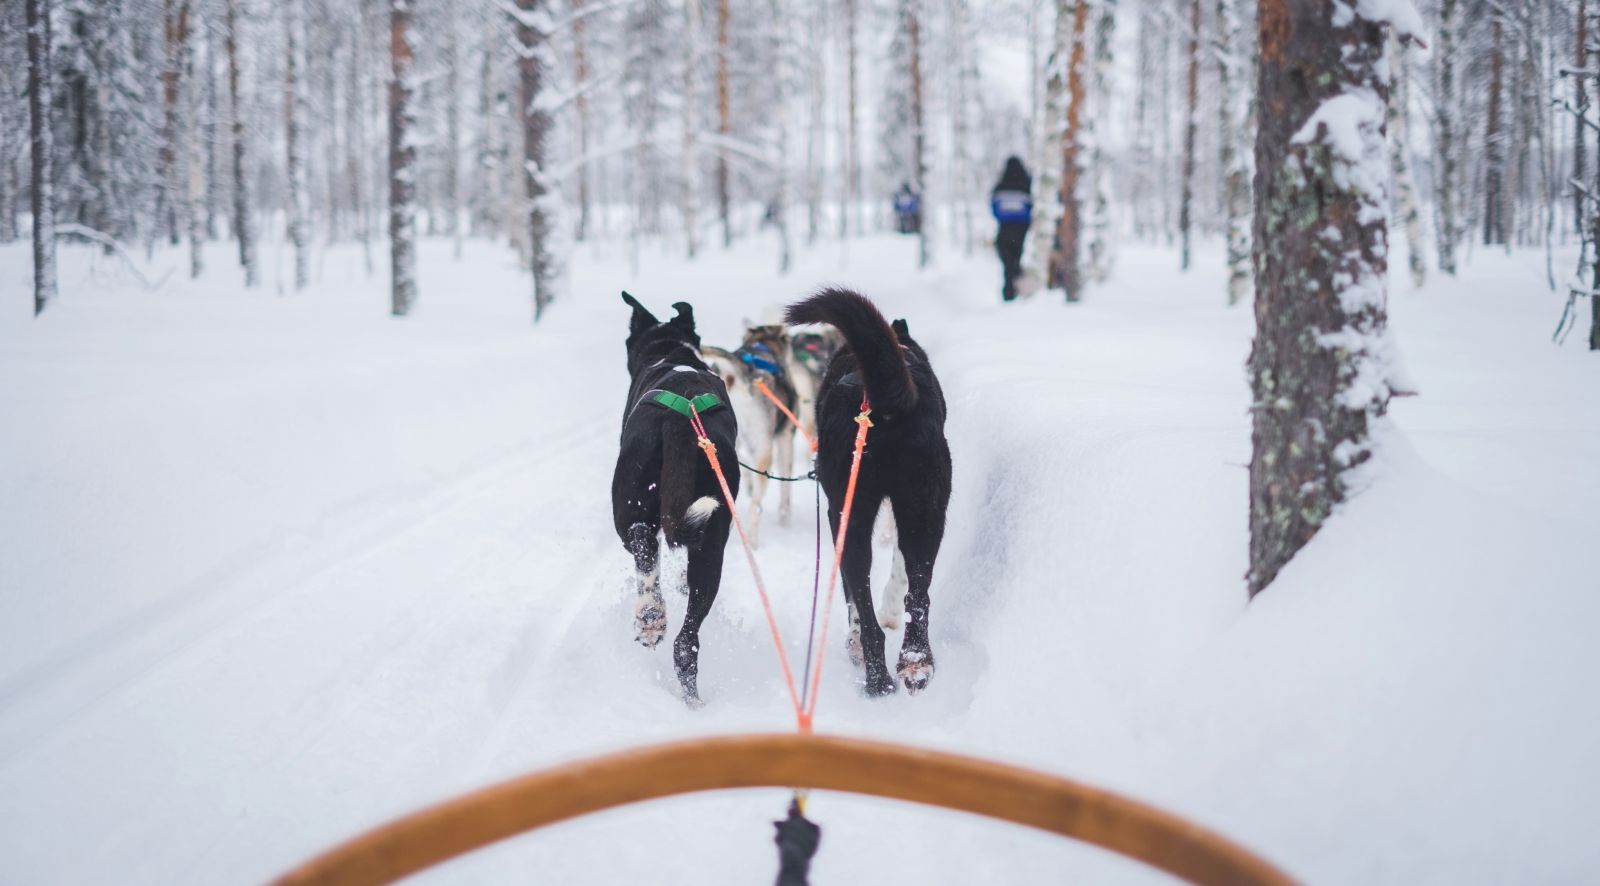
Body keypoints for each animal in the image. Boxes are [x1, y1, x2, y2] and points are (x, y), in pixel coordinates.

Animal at [608, 291, 739, 703]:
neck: (671, 353)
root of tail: (681, 419)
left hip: (631, 506)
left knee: (642, 544)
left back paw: (650, 616)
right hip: (711, 535)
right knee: (686, 642)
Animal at [787, 286, 947, 694]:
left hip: (848, 516)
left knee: (864, 605)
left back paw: (876, 676)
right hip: (924, 511)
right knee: (918, 597)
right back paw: (912, 664)